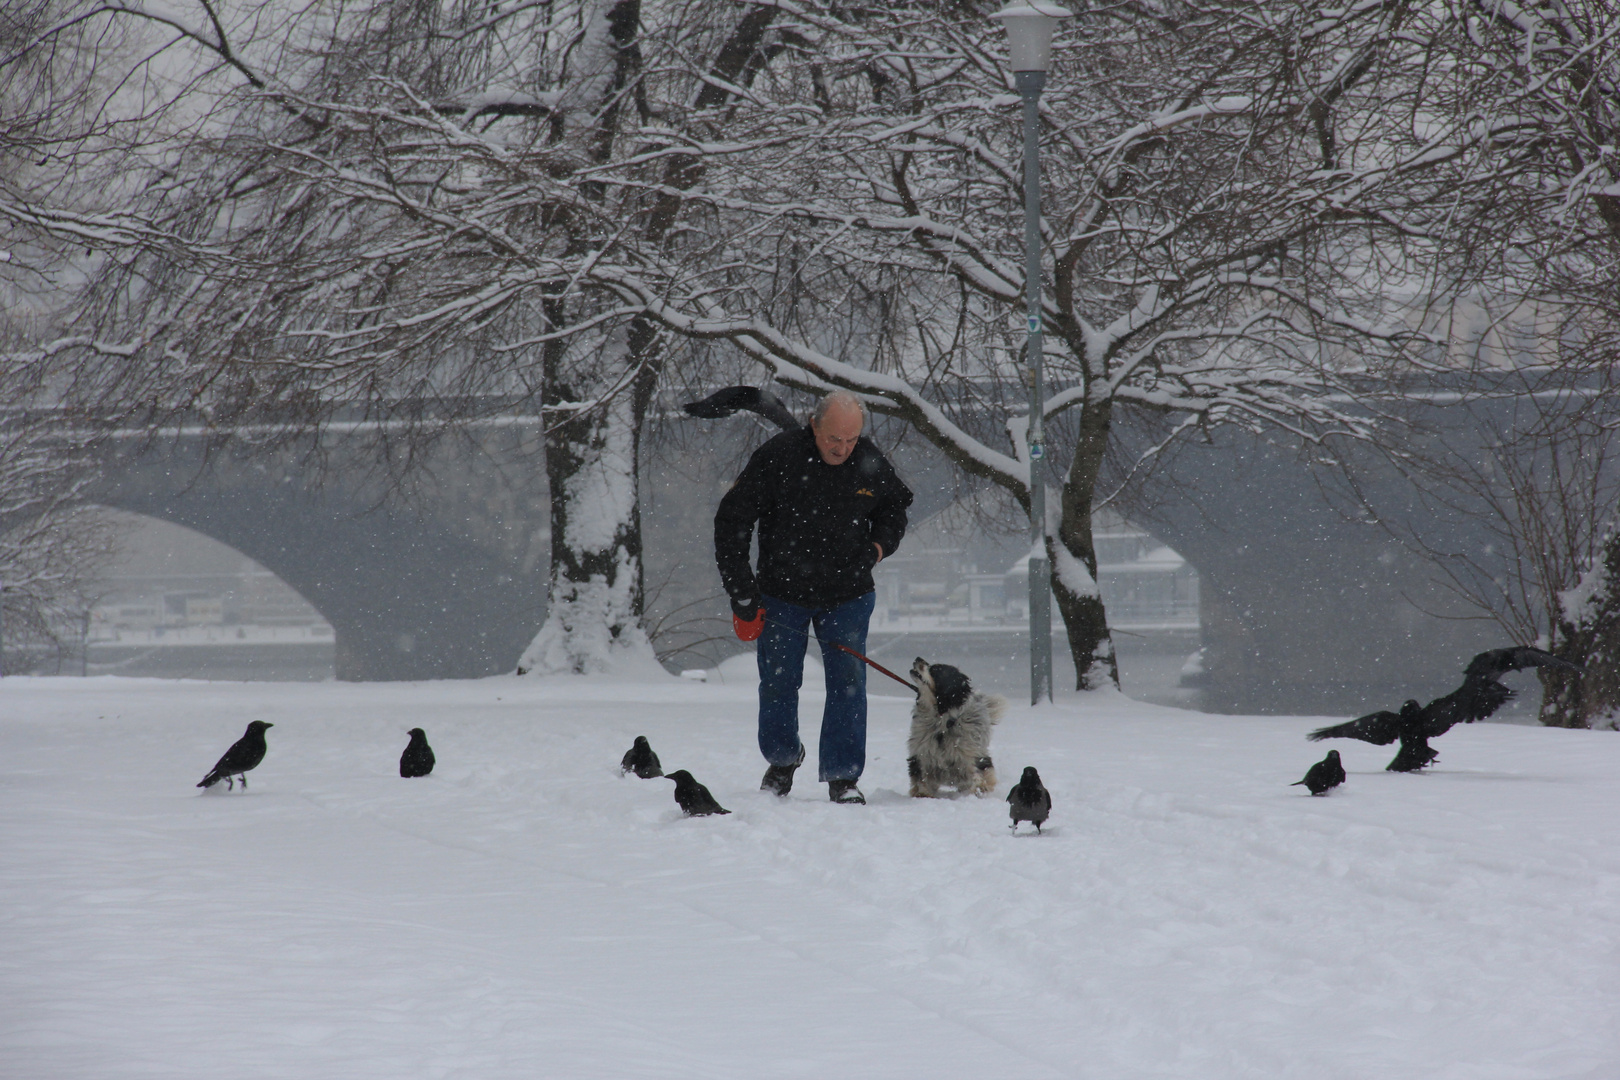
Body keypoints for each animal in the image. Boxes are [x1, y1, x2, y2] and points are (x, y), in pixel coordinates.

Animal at [913, 654, 997, 799]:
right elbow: (921, 777)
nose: (918, 658)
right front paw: (923, 794)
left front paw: (977, 791)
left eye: (934, 670)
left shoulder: (971, 754)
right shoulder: (922, 752)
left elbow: (977, 776)